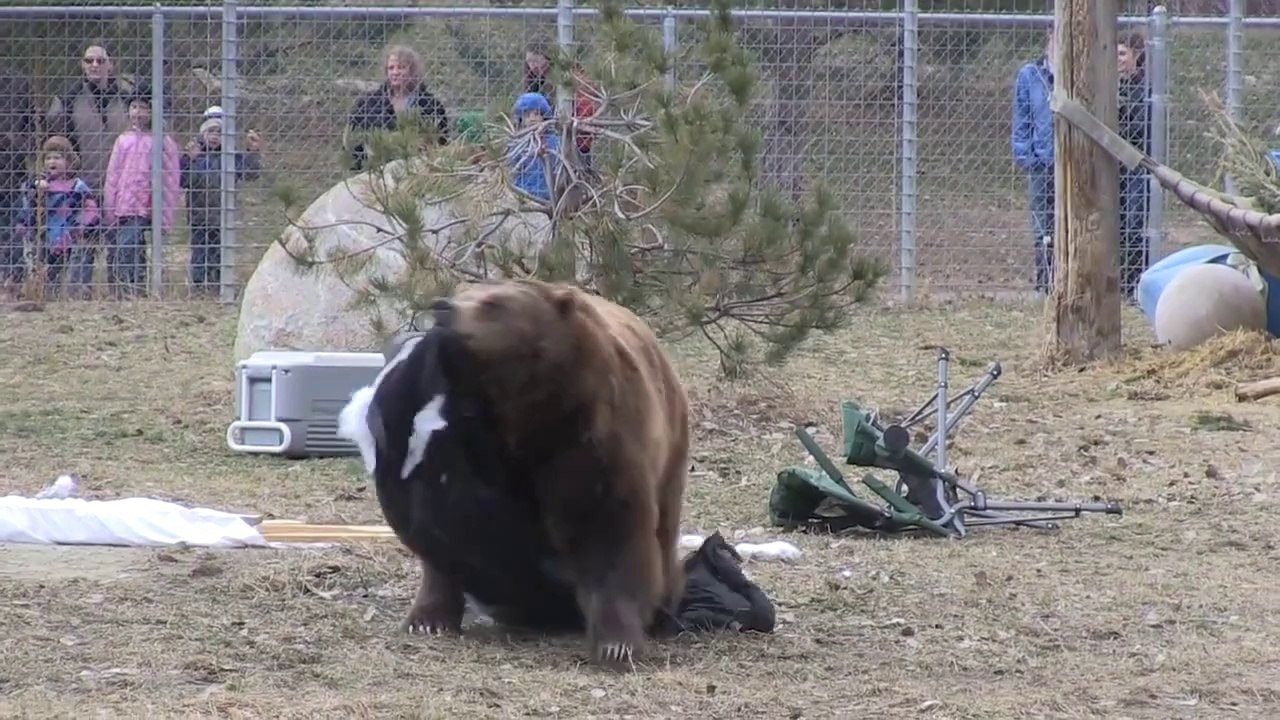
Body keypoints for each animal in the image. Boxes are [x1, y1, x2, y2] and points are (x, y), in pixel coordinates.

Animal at [428, 277, 691, 671]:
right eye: (461, 291)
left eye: (494, 303)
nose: (442, 308)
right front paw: (429, 618)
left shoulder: (592, 444)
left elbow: (612, 534)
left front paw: (616, 644)